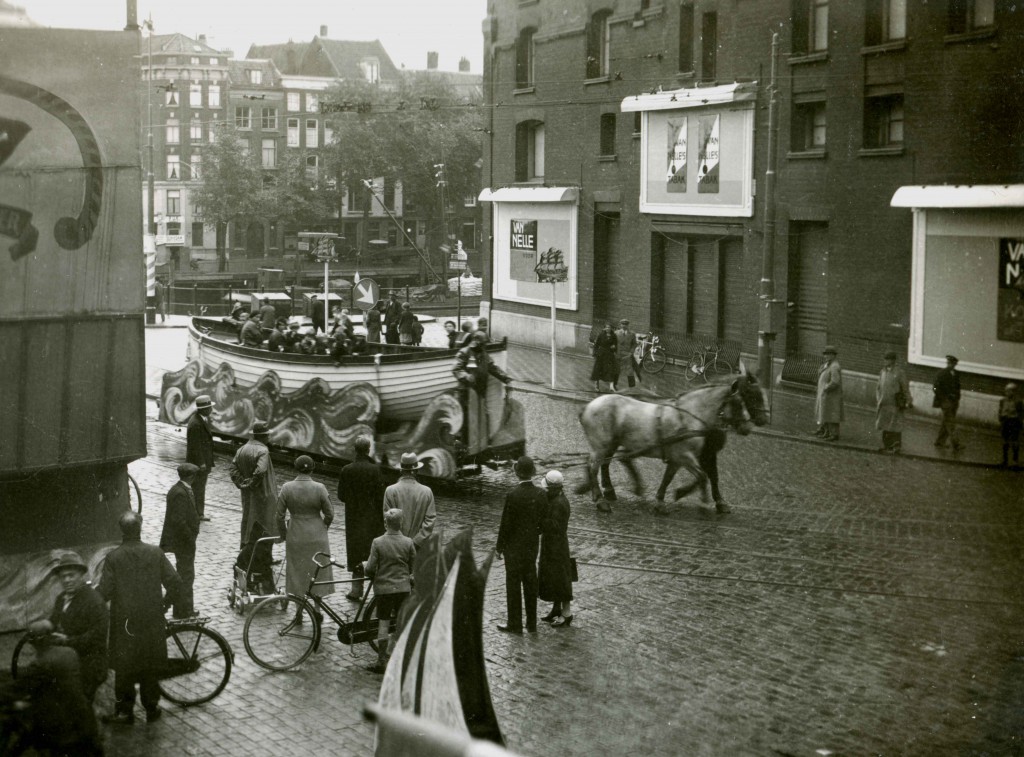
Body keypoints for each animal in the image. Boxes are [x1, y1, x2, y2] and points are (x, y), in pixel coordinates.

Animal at [581, 366, 765, 514]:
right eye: (741, 401)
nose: (749, 427)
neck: (689, 417)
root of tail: (589, 406)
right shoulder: (685, 456)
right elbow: (703, 476)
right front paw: (695, 498)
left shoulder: (678, 459)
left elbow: (669, 478)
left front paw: (661, 501)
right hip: (602, 445)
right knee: (594, 466)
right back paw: (601, 500)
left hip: (612, 445)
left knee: (605, 462)